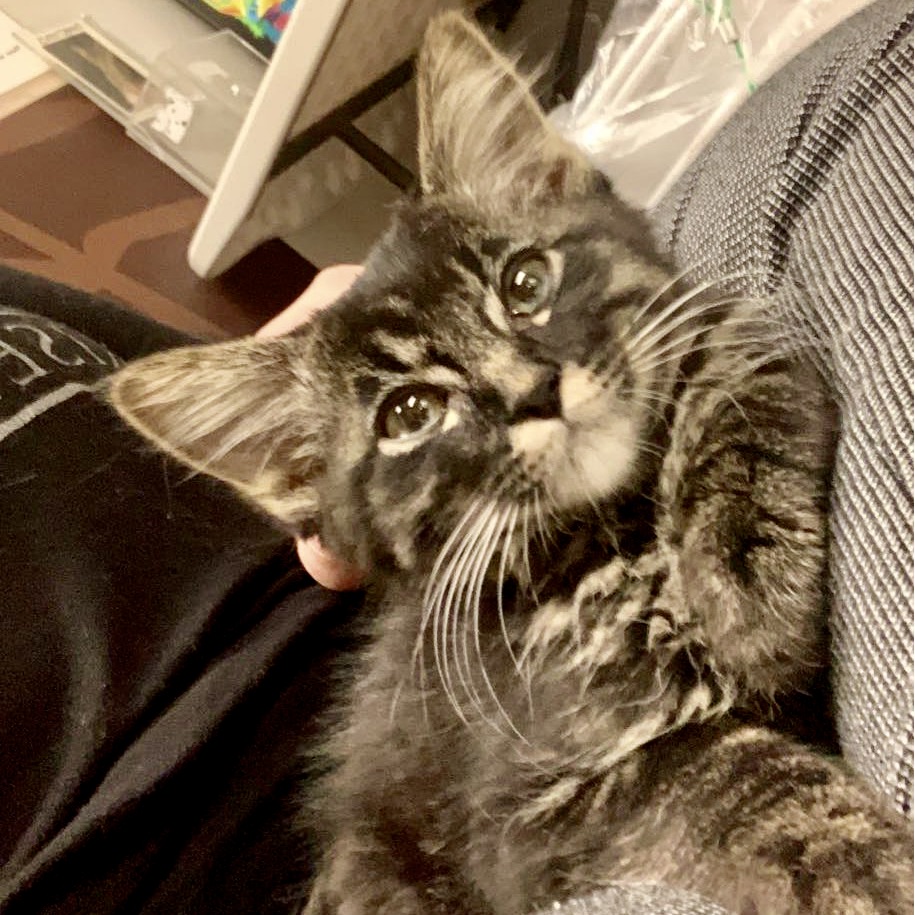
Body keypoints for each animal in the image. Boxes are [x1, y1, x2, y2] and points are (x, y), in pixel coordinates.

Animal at [109, 12, 915, 915]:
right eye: (408, 414)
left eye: (525, 282)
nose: (533, 391)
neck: (615, 534)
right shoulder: (529, 825)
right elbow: (716, 774)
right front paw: (859, 856)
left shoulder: (731, 333)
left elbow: (744, 370)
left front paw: (748, 587)